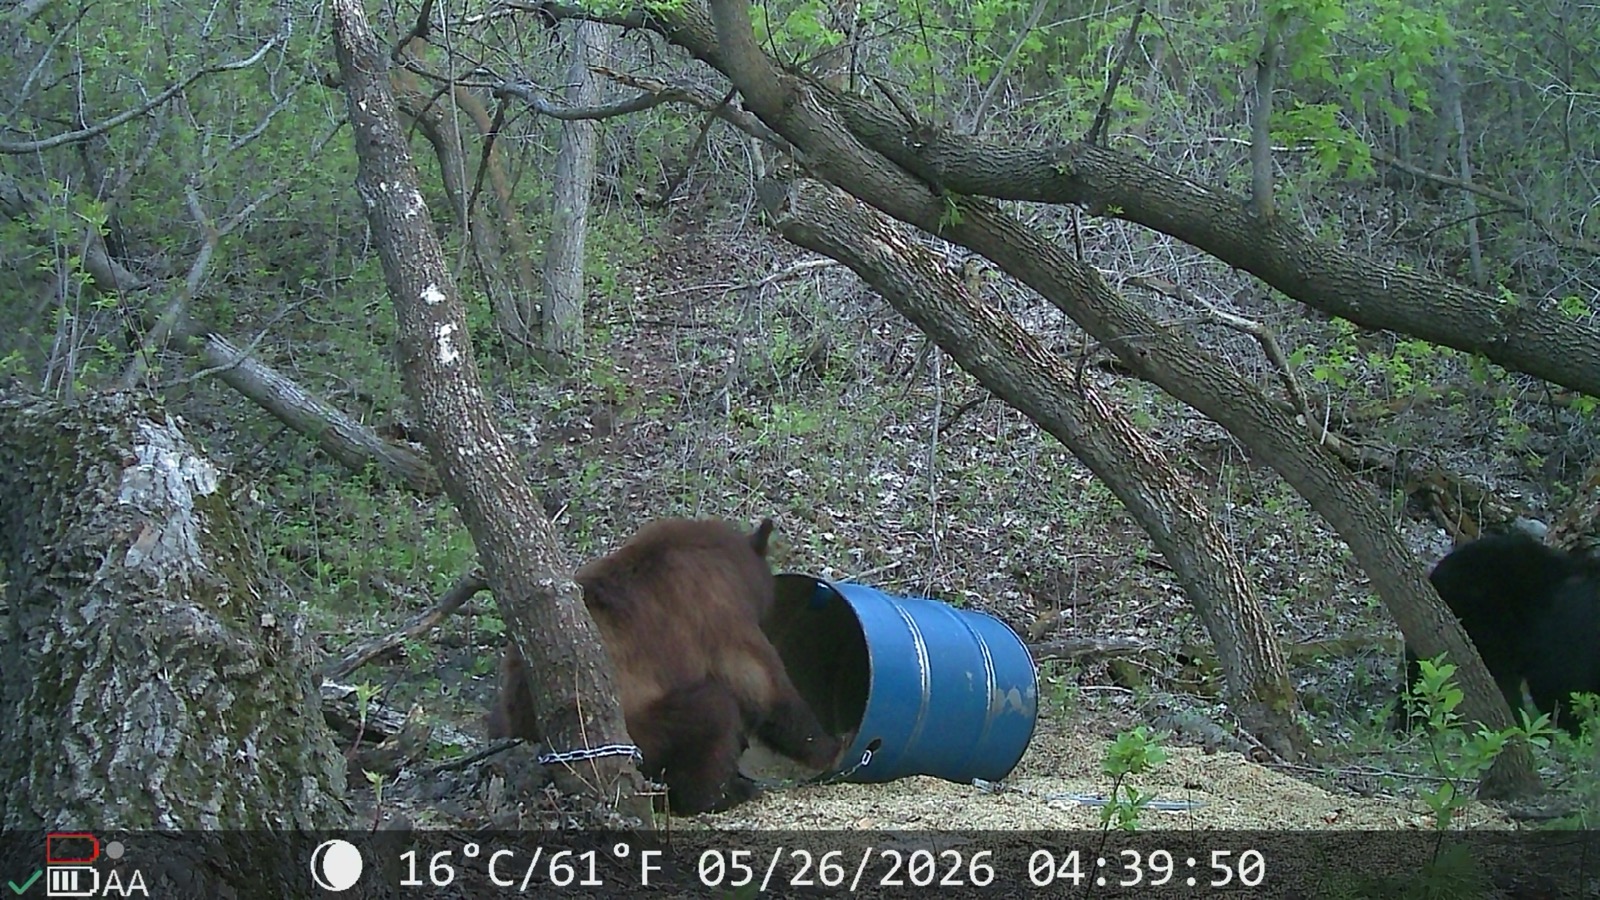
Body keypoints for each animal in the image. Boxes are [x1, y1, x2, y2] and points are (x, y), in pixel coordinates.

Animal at [485, 517, 845, 815]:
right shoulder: (720, 616)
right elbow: (760, 683)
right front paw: (829, 746)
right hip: (641, 730)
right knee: (714, 710)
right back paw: (724, 794)